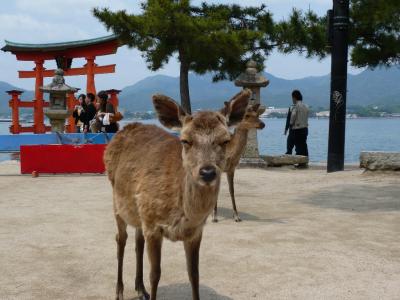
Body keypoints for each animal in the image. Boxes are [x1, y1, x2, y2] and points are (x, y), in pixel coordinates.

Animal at [104, 89, 252, 300]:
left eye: (225, 140)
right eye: (185, 140)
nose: (207, 172)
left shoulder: (195, 231)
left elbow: (194, 274)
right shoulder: (153, 225)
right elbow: (155, 274)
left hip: (139, 212)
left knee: (138, 241)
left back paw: (140, 289)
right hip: (117, 202)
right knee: (121, 239)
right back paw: (120, 291)